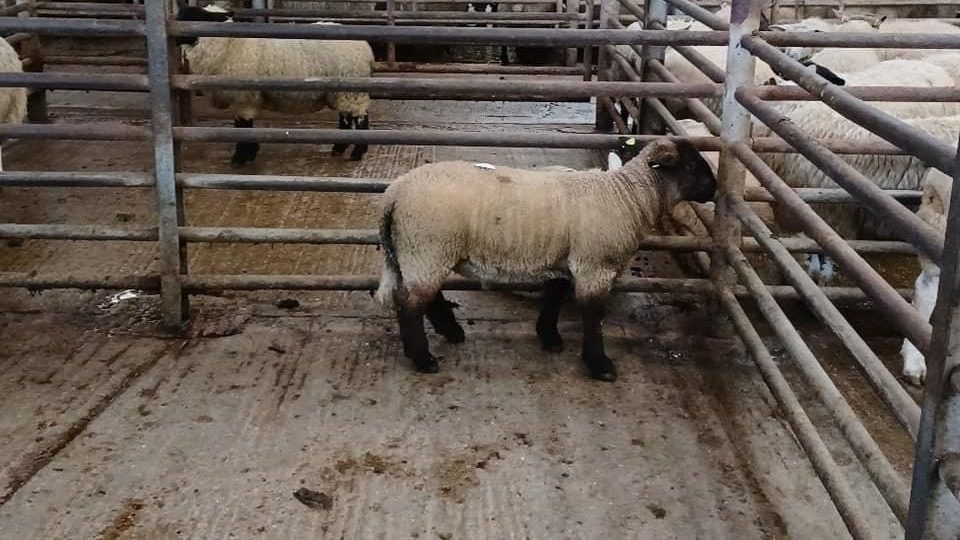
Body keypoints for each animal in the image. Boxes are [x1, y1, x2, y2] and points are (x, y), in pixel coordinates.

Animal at [176, 5, 375, 165]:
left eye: (193, 18)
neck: (231, 45)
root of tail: (365, 49)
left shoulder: (244, 97)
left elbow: (242, 126)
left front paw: (240, 158)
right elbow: (245, 126)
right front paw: (250, 153)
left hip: (352, 90)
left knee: (360, 118)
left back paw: (357, 153)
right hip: (340, 90)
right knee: (346, 117)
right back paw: (339, 148)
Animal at [374, 138, 717, 381]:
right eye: (690, 166)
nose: (715, 189)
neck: (627, 196)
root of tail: (395, 191)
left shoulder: (564, 261)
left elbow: (554, 298)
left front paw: (549, 337)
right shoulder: (594, 265)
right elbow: (592, 314)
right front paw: (599, 364)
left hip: (424, 251)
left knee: (426, 298)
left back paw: (451, 332)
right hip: (427, 246)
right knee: (410, 304)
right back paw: (422, 358)